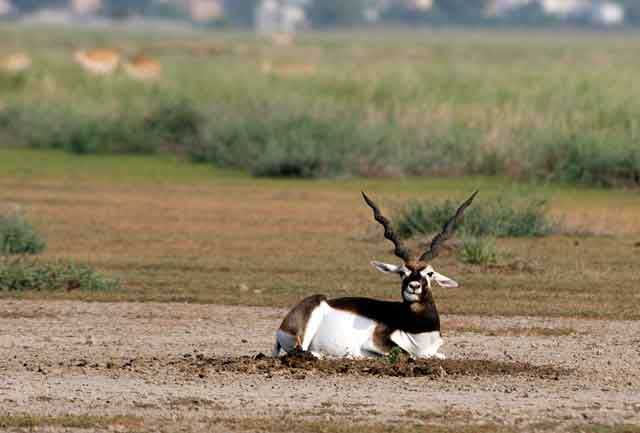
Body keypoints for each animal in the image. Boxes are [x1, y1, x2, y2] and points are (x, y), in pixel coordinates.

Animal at [272, 191, 478, 360]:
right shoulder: (375, 342)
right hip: (310, 321)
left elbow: (438, 355)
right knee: (300, 351)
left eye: (430, 273)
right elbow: (408, 354)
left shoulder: (434, 351)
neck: (418, 329)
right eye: (402, 272)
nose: (413, 286)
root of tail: (281, 328)